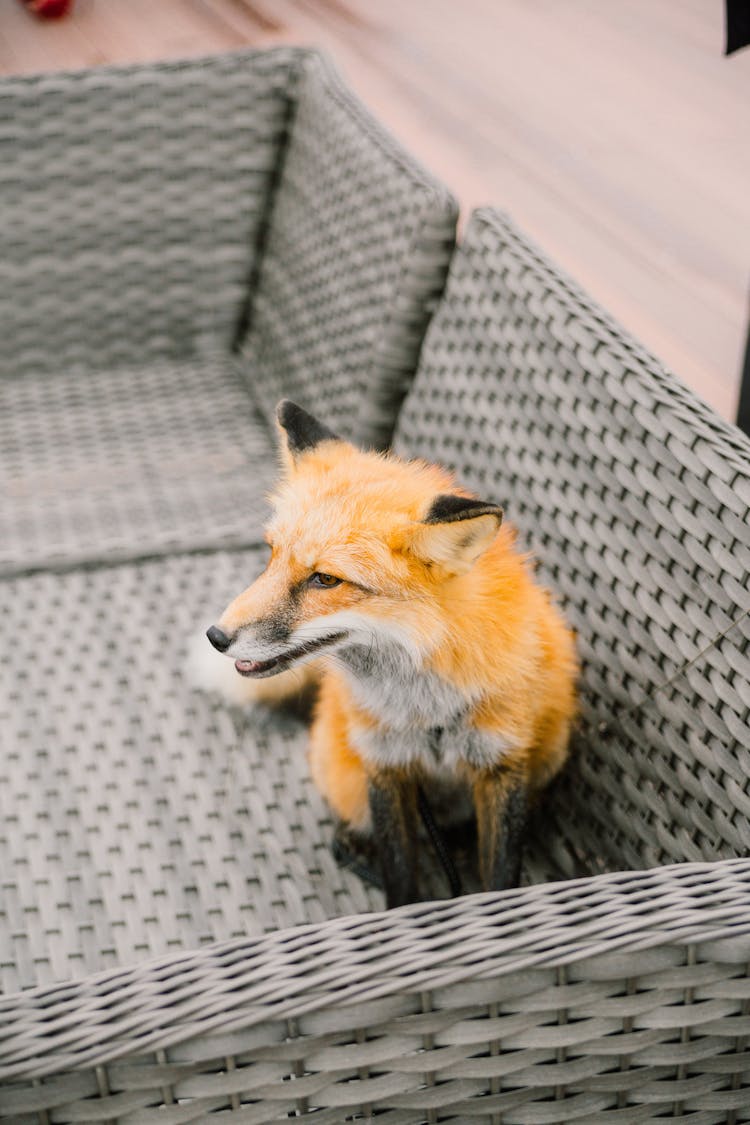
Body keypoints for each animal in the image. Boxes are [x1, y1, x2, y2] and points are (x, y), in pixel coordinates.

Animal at [205, 400, 580, 909]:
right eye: (270, 554)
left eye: (326, 579)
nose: (215, 636)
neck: (427, 711)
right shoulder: (384, 762)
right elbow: (400, 869)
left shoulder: (503, 763)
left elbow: (501, 875)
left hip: (551, 751)